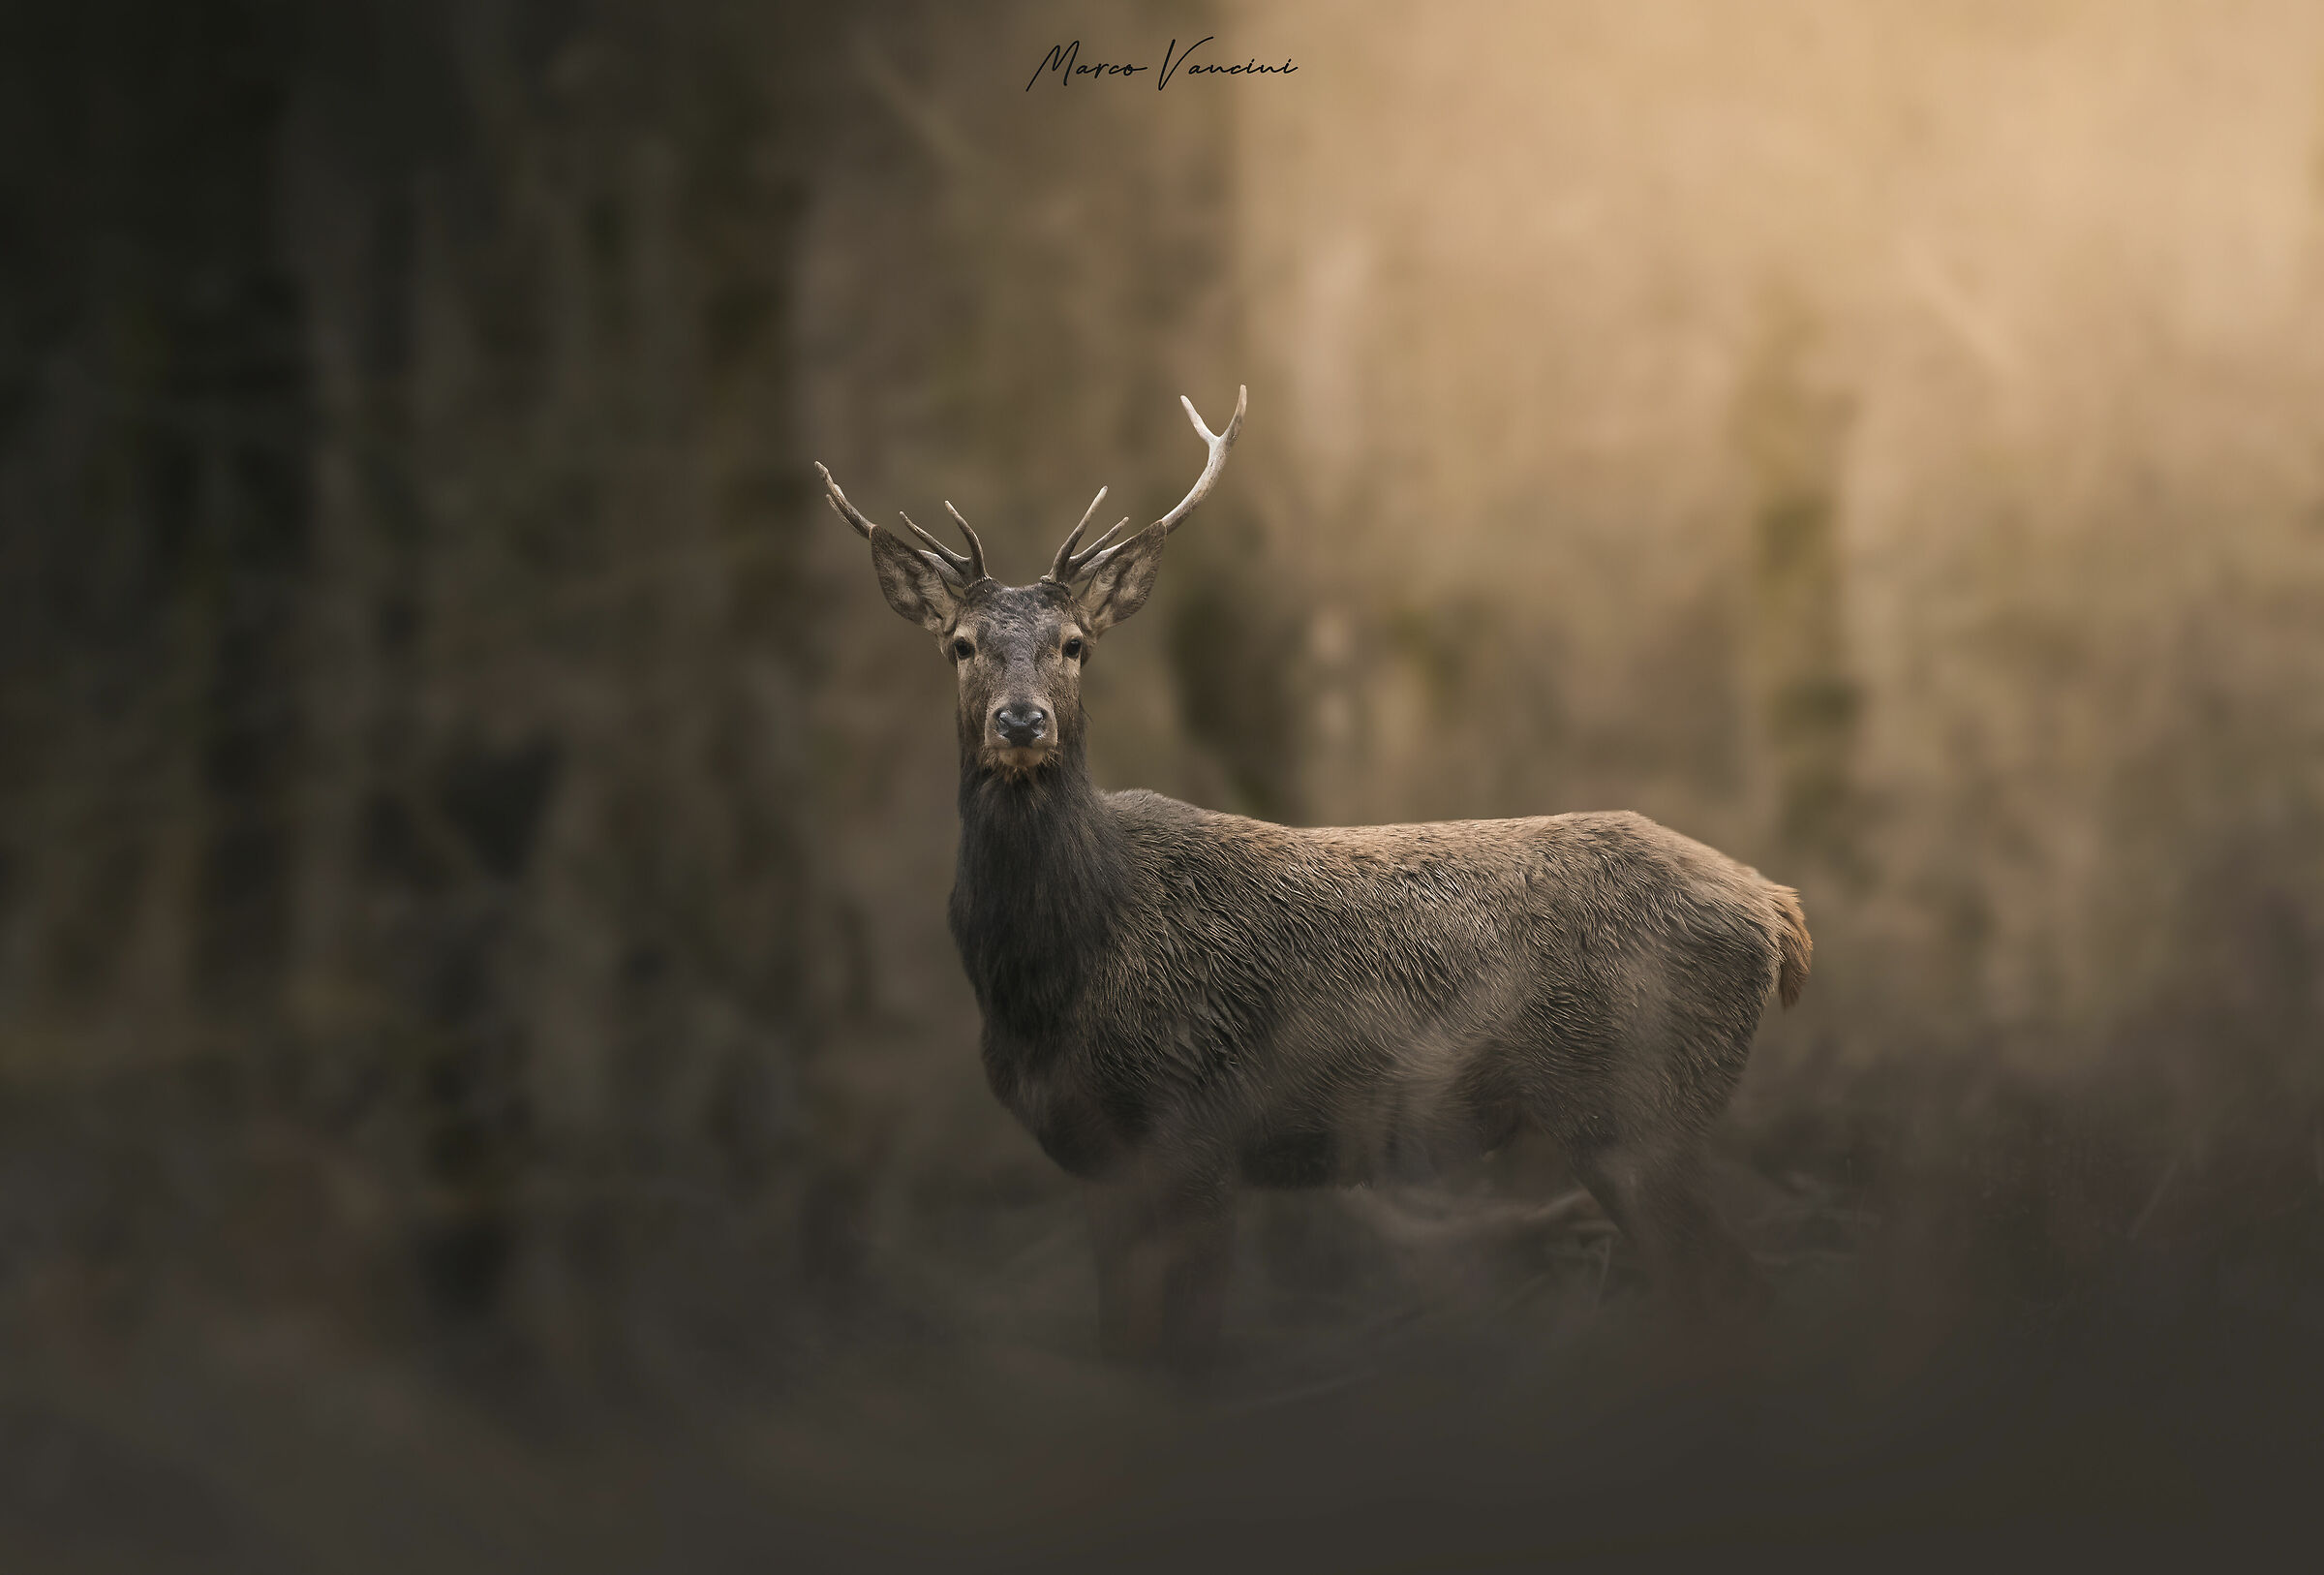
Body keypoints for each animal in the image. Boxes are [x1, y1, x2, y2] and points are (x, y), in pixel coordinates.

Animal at [816, 387, 1810, 1366]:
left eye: (1074, 644)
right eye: (960, 643)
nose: (1022, 722)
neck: (1056, 972)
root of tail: (1774, 907)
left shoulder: (1197, 1133)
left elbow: (1186, 1359)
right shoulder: (1096, 1160)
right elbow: (1122, 1350)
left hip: (1641, 1111)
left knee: (1737, 1291)